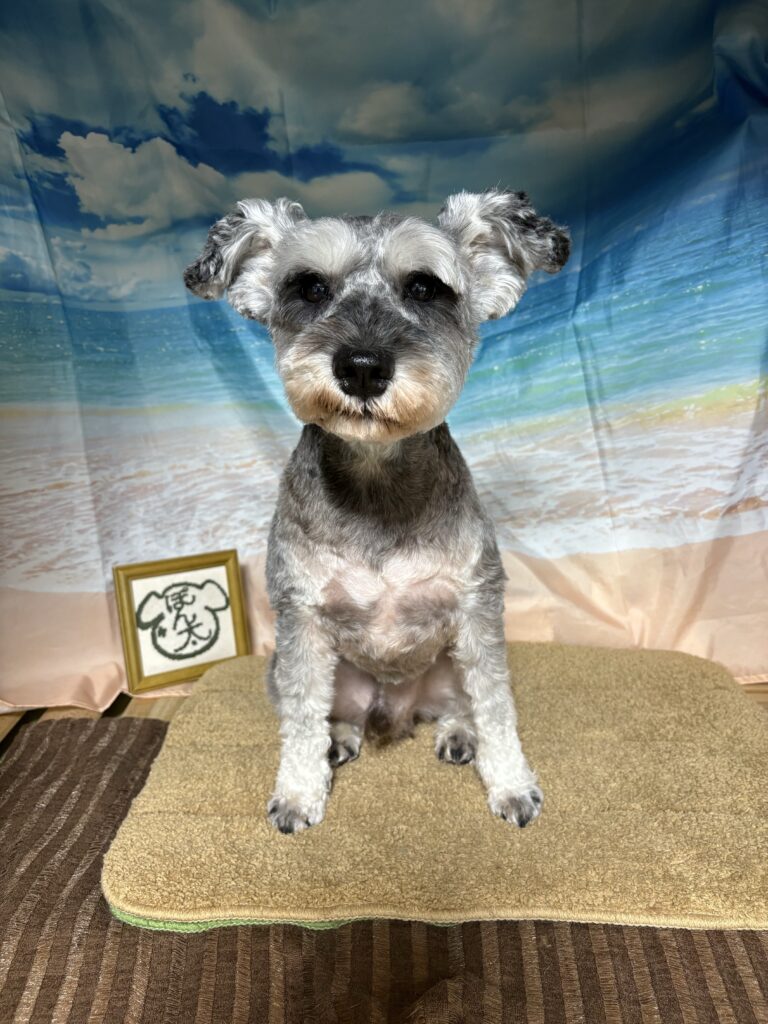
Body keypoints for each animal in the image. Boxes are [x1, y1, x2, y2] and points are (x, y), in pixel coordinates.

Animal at [184, 189, 570, 834]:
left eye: (424, 287)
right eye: (310, 286)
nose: (362, 366)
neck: (375, 480)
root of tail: (395, 708)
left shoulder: (477, 610)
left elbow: (495, 704)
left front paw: (512, 784)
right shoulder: (301, 622)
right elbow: (300, 718)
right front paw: (298, 794)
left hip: (446, 666)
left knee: (460, 704)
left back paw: (459, 734)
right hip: (301, 671)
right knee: (326, 713)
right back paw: (339, 738)